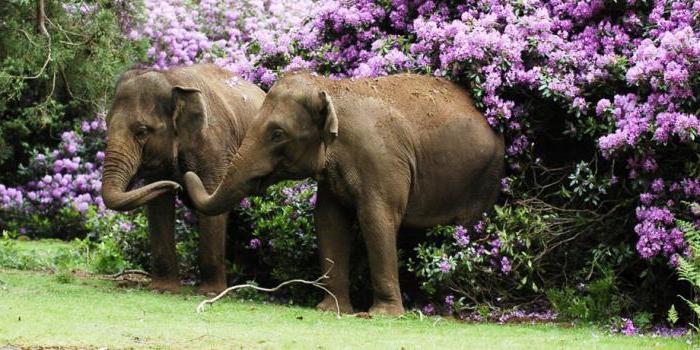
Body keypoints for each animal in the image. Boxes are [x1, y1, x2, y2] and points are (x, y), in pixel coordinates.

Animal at [102, 63, 266, 296]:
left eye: (141, 131)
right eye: (106, 124)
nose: (178, 185)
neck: (172, 80)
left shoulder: (215, 147)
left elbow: (211, 201)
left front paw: (210, 293)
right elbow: (159, 206)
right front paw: (163, 290)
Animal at [183, 72, 506, 314]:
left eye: (277, 134)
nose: (186, 174)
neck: (330, 87)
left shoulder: (381, 160)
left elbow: (376, 218)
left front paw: (382, 314)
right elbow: (329, 221)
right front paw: (330, 309)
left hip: (486, 176)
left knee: (466, 226)